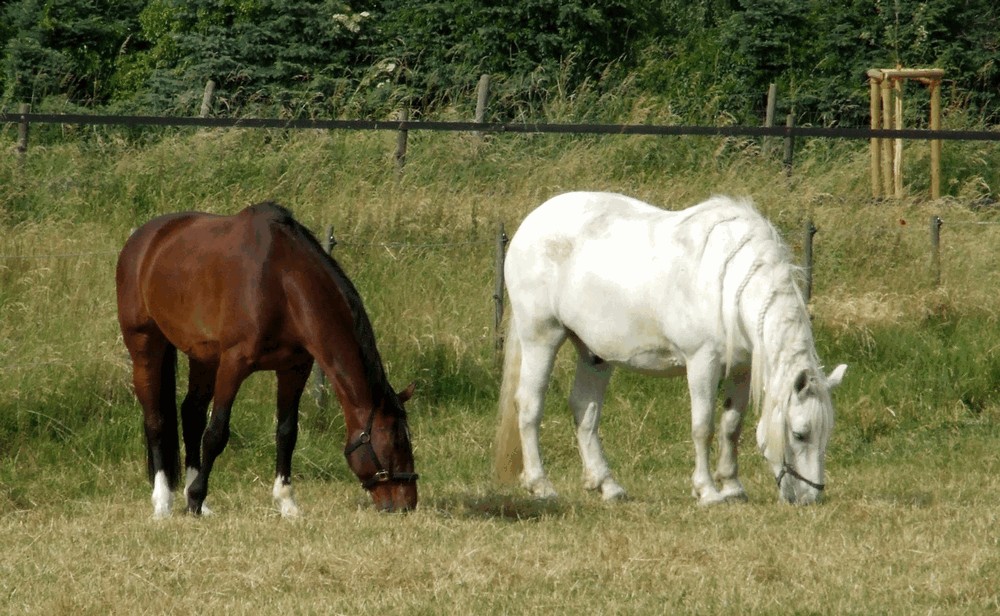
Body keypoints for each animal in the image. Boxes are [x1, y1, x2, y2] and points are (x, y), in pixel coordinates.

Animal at [115, 201, 416, 516]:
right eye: (395, 440)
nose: (408, 503)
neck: (281, 282)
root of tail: (142, 239)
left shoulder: (295, 368)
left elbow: (286, 432)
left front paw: (287, 503)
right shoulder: (233, 363)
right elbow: (216, 433)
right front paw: (197, 496)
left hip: (203, 356)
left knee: (191, 415)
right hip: (145, 344)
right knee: (156, 420)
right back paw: (163, 503)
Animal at [492, 192, 844, 506]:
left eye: (827, 433)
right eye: (799, 434)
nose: (811, 497)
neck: (731, 281)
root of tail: (529, 224)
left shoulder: (741, 369)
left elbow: (731, 426)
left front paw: (732, 487)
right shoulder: (702, 362)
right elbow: (703, 427)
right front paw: (708, 492)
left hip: (595, 354)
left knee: (584, 410)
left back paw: (607, 485)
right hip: (541, 338)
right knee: (529, 406)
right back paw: (540, 485)